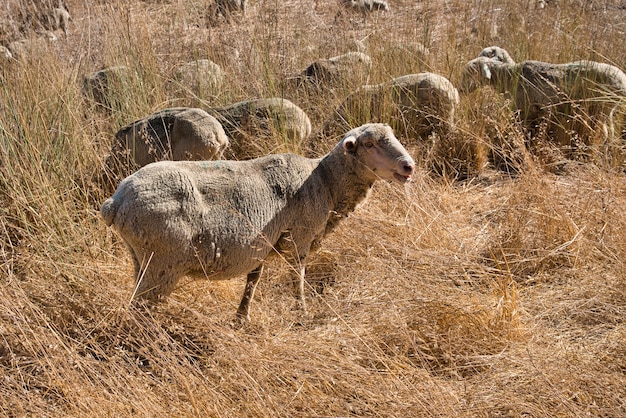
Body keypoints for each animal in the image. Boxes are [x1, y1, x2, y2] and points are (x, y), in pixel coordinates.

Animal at [100, 122, 414, 322]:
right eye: (369, 144)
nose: (408, 166)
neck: (325, 180)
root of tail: (117, 201)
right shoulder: (300, 237)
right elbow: (297, 279)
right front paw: (302, 314)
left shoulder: (262, 243)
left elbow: (253, 279)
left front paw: (242, 318)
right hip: (164, 261)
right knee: (140, 308)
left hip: (141, 256)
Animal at [458, 54, 624, 153]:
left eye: (471, 73)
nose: (460, 90)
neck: (510, 77)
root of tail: (622, 79)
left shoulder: (524, 109)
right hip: (607, 110)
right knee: (610, 132)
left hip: (601, 107)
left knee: (604, 133)